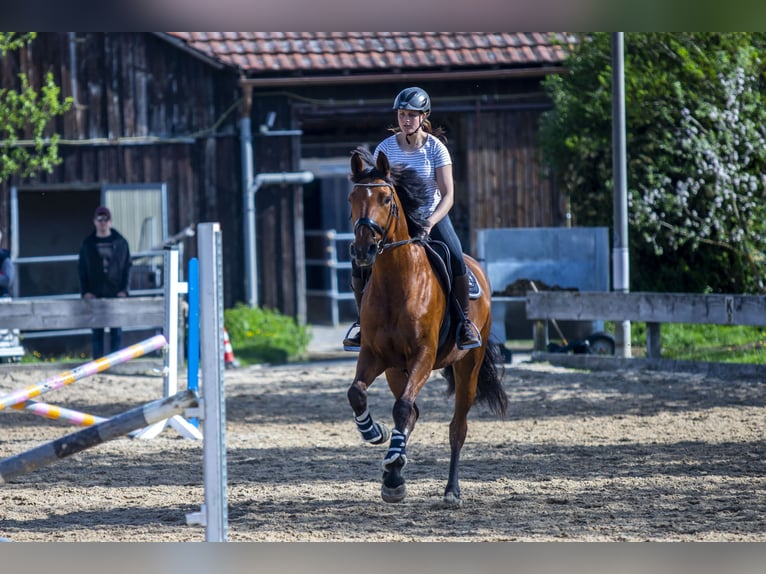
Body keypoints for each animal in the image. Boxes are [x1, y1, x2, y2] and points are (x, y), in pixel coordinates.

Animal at [346, 147, 508, 507]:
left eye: (386, 198)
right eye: (352, 198)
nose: (363, 251)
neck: (397, 283)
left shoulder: (423, 354)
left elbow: (404, 407)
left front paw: (394, 472)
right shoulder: (374, 354)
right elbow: (358, 394)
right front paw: (375, 435)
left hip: (467, 367)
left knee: (456, 427)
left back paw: (451, 491)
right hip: (396, 371)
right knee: (411, 414)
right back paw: (394, 465)